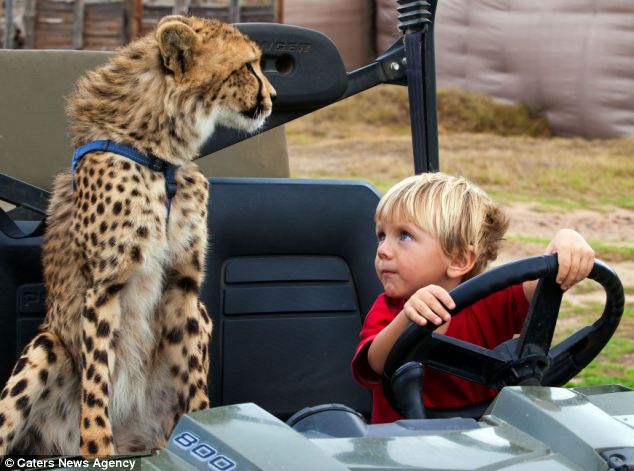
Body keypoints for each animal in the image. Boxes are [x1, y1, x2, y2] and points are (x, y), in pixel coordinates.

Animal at [0, 14, 274, 458]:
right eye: (247, 67)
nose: (272, 97)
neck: (160, 155)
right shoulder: (105, 285)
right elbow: (97, 380)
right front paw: (97, 446)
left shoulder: (184, 285)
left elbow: (193, 379)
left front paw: (204, 426)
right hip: (46, 346)